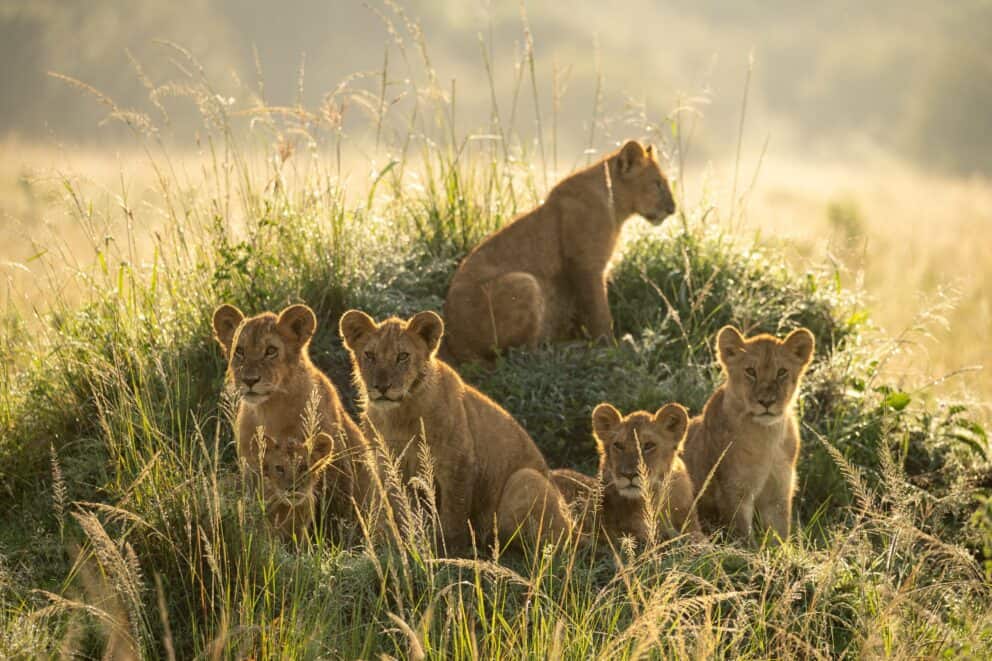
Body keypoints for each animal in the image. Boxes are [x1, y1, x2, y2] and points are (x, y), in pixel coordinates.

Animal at [212, 303, 368, 532]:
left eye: (271, 351)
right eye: (239, 351)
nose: (249, 380)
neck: (269, 409)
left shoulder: (336, 466)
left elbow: (337, 513)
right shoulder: (251, 466)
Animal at [339, 308, 573, 553]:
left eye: (402, 356)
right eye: (370, 355)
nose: (382, 387)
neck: (399, 415)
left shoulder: (458, 462)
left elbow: (453, 512)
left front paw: (447, 550)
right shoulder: (390, 465)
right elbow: (403, 509)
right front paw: (406, 543)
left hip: (526, 478)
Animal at [442, 139, 677, 363]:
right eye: (657, 184)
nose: (673, 210)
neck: (617, 206)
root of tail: (452, 339)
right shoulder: (586, 267)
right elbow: (600, 312)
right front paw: (611, 348)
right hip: (525, 283)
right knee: (521, 355)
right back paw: (570, 350)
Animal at [681, 325, 815, 543]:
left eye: (782, 372)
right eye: (751, 371)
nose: (767, 402)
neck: (767, 436)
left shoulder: (779, 494)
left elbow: (779, 536)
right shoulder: (733, 491)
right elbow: (743, 536)